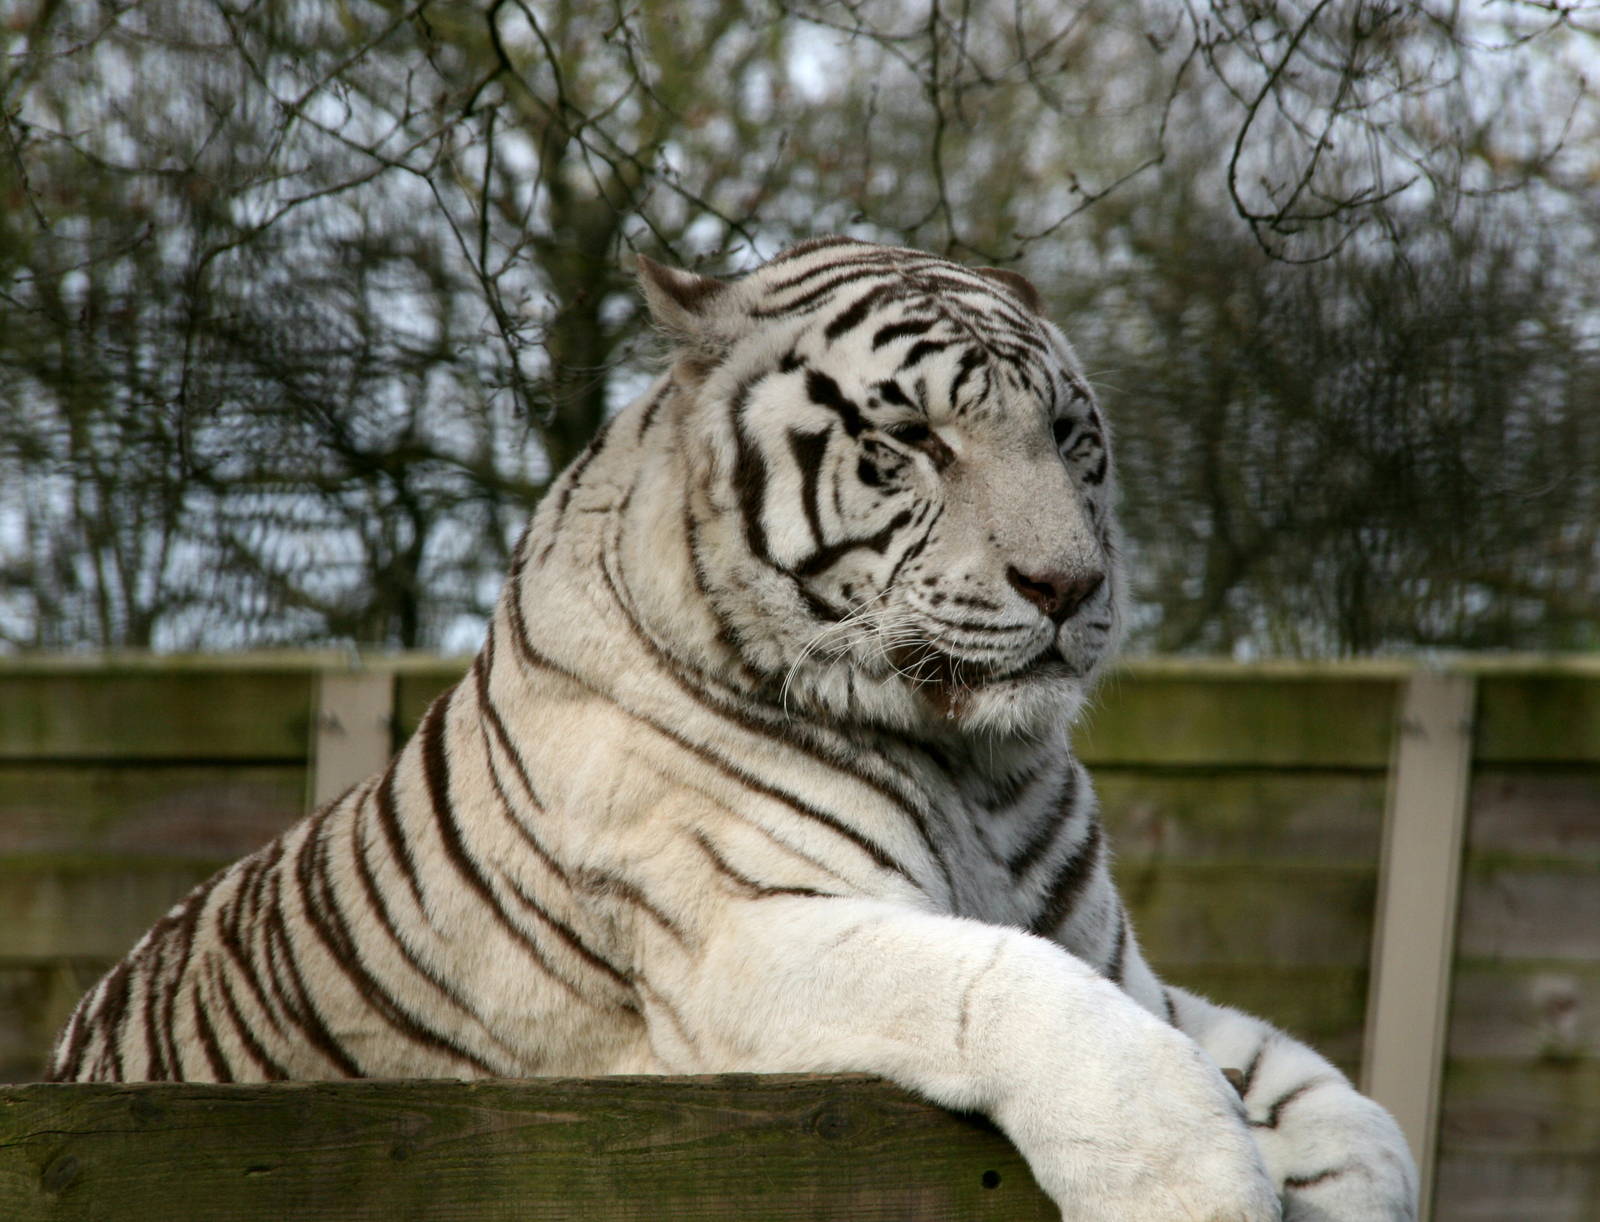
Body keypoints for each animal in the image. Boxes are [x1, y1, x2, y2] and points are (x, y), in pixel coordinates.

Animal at [49, 236, 1417, 1220]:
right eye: (911, 440)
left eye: (1073, 441)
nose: (1069, 586)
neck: (978, 763)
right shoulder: (742, 936)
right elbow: (1019, 992)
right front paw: (1192, 1180)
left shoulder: (1126, 963)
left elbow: (1334, 1104)